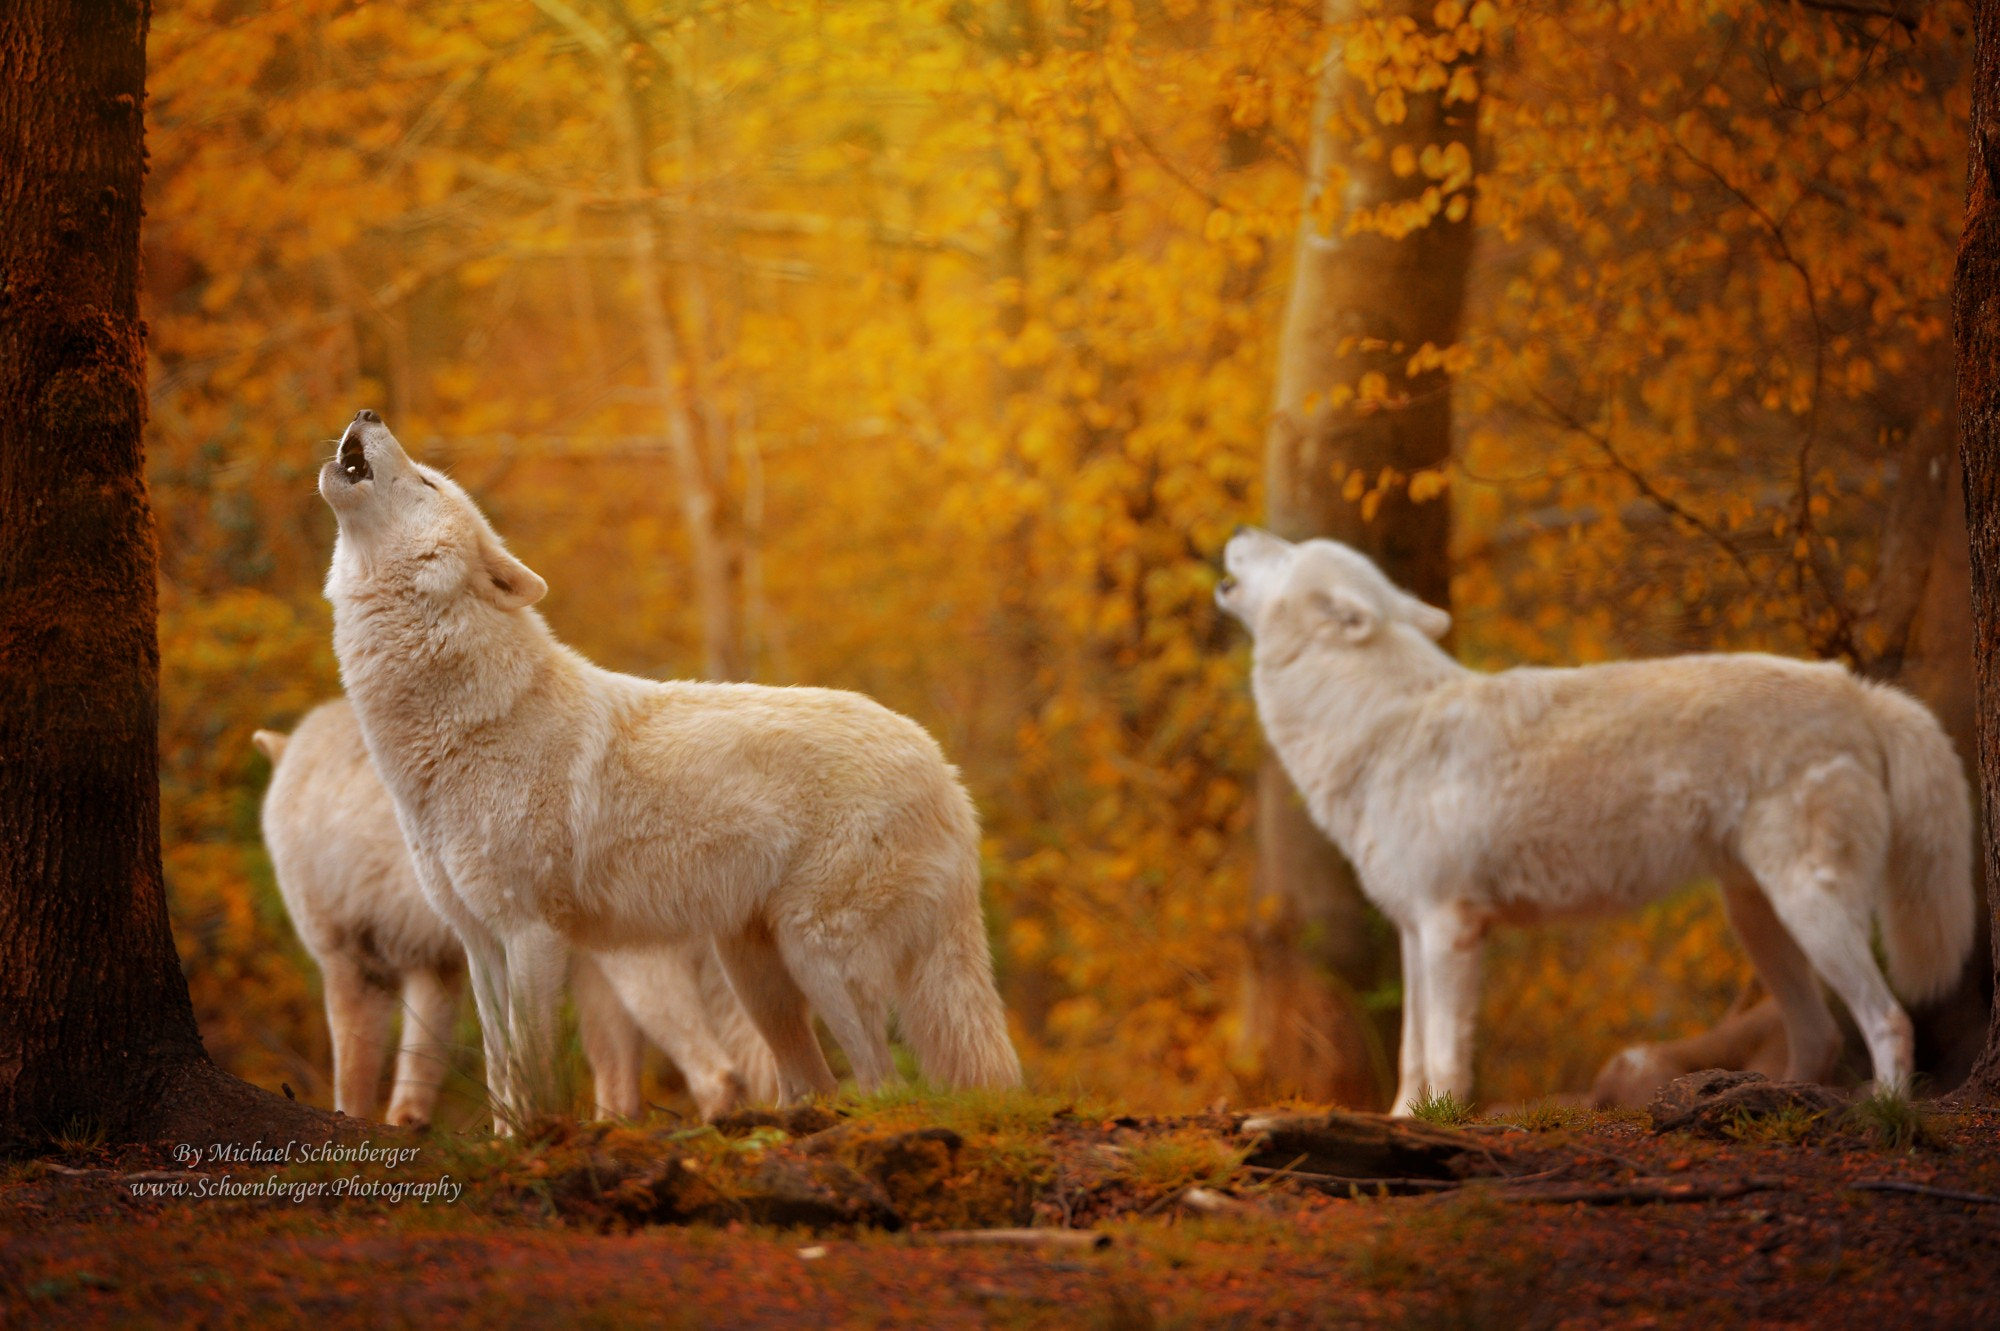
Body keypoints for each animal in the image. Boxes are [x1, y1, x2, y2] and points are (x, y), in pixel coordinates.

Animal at [255, 699, 778, 1123]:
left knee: (718, 1073)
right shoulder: (439, 963)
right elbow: (422, 1063)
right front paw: (410, 1124)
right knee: (631, 1084)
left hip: (634, 968)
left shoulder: (350, 960)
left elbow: (352, 1077)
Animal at [318, 410, 1020, 1118]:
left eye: (429, 483)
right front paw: (511, 1139)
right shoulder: (479, 943)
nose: (368, 414)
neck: (460, 724)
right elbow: (501, 1082)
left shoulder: (532, 935)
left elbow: (533, 1073)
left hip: (819, 959)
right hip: (757, 976)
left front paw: (544, 1135)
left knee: (884, 1084)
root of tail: (946, 775)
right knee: (816, 1083)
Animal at [1216, 528, 1974, 1113]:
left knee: (1889, 1019)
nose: (1243, 530)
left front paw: (1442, 1123)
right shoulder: (1412, 928)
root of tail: (1860, 691)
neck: (1381, 724)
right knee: (1820, 1035)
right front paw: (1405, 1121)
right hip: (1760, 920)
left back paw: (1885, 1113)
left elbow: (1443, 1054)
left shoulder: (1449, 926)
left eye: (1287, 551)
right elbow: (1411, 1052)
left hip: (1810, 910)